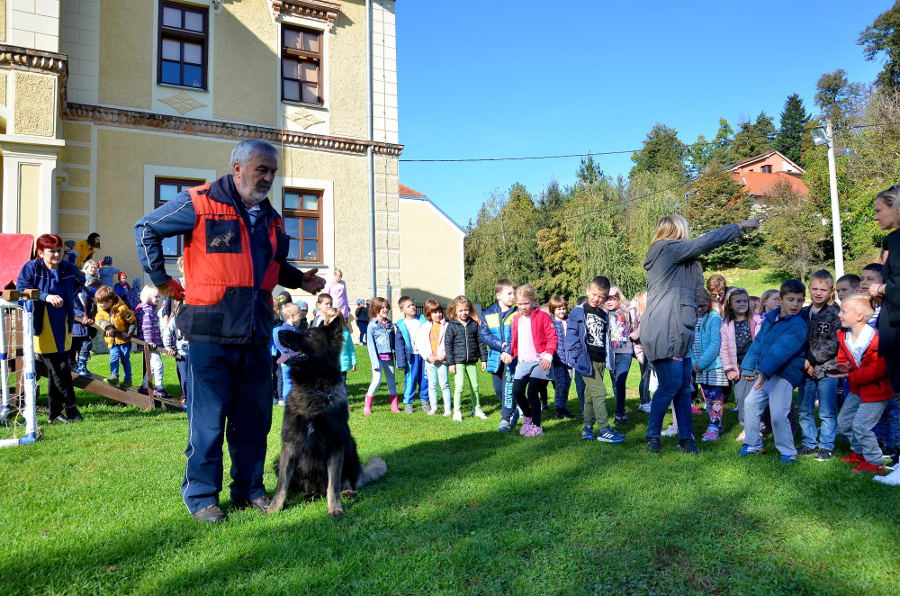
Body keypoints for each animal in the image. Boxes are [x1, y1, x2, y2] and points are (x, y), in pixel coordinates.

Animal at [268, 316, 386, 516]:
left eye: (308, 334)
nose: (279, 332)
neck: (314, 388)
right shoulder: (289, 444)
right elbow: (282, 484)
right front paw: (274, 507)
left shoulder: (336, 444)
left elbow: (333, 483)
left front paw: (335, 507)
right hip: (279, 461)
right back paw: (310, 495)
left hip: (350, 448)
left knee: (343, 481)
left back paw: (347, 491)